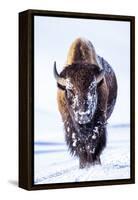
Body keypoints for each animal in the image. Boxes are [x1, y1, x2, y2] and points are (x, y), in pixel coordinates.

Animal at [53, 38, 117, 169]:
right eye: (70, 90)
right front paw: (84, 164)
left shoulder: (99, 120)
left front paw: (93, 162)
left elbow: (94, 141)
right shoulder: (69, 123)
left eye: (92, 88)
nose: (83, 115)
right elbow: (79, 143)